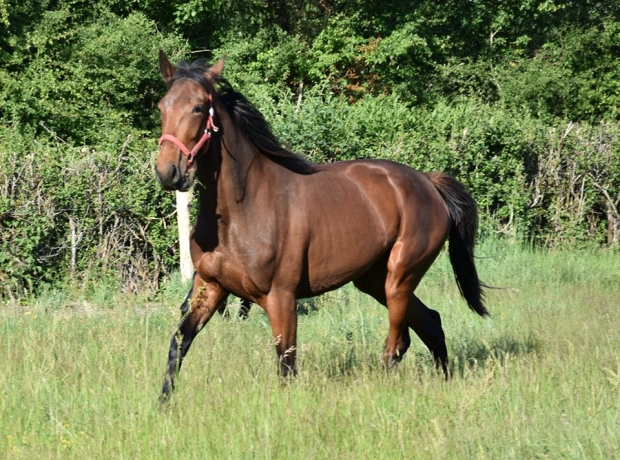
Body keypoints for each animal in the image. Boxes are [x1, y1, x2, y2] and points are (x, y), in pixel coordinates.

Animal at [155, 50, 490, 400]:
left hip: (400, 277)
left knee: (396, 344)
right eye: (162, 106)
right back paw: (445, 382)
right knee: (430, 323)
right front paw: (164, 405)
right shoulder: (210, 287)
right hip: (374, 280)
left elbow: (286, 365)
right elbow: (178, 344)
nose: (168, 172)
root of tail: (427, 182)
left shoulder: (281, 298)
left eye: (197, 107)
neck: (240, 211)